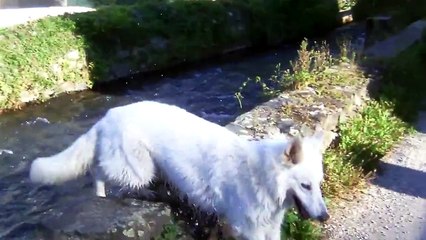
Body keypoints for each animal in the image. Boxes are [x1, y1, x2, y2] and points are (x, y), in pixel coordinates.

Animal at [30, 101, 330, 240]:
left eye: (318, 184)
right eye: (305, 186)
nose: (325, 217)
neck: (264, 178)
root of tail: (109, 115)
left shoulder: (270, 227)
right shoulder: (250, 229)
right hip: (138, 169)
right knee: (99, 171)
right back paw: (102, 193)